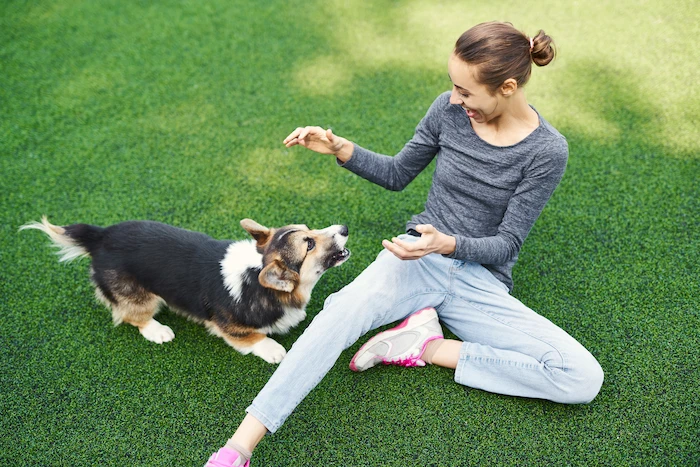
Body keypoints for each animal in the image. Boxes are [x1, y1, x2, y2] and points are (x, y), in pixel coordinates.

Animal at [21, 218, 350, 364]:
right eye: (309, 244)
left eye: (310, 230)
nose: (344, 228)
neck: (256, 275)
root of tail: (100, 236)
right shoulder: (228, 327)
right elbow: (254, 338)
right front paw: (274, 350)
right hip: (141, 297)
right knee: (132, 316)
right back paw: (158, 331)